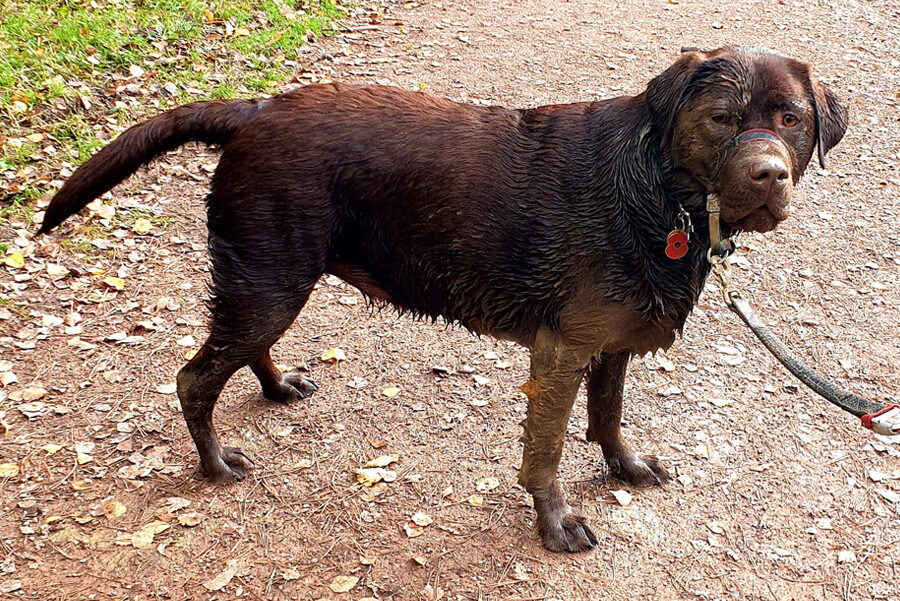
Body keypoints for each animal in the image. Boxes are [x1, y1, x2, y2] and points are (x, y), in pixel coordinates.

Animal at [38, 47, 848, 552]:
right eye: (722, 116)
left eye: (791, 119)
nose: (770, 175)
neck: (659, 190)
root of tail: (257, 109)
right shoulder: (561, 350)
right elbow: (545, 452)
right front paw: (555, 525)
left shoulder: (611, 339)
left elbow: (609, 415)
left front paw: (623, 466)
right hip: (271, 278)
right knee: (194, 376)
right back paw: (213, 463)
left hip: (275, 276)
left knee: (241, 349)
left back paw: (274, 386)